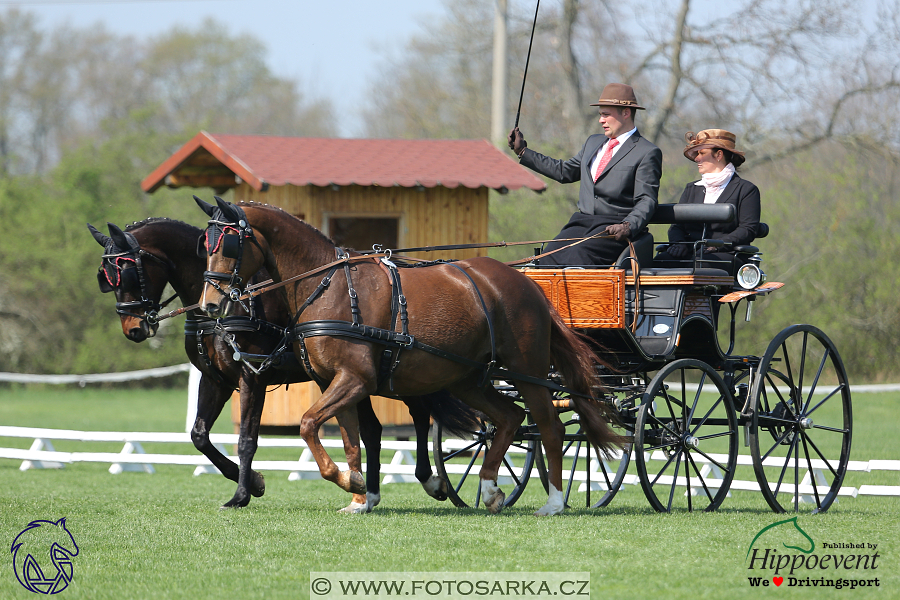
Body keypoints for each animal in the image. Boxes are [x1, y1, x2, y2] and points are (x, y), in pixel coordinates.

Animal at [88, 218, 474, 508]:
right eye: (105, 277)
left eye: (123, 272)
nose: (133, 328)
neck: (231, 304)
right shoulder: (215, 379)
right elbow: (199, 436)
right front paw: (253, 482)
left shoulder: (252, 375)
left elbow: (247, 438)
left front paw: (243, 493)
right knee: (374, 430)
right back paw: (368, 494)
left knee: (420, 417)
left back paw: (430, 481)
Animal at [198, 198, 624, 516]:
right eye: (205, 243)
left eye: (229, 244)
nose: (209, 304)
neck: (328, 285)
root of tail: (528, 284)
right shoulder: (333, 381)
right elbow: (350, 439)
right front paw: (357, 492)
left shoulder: (355, 379)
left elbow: (306, 424)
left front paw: (351, 482)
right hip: (468, 379)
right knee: (509, 418)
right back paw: (490, 490)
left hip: (526, 370)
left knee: (549, 426)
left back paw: (554, 501)